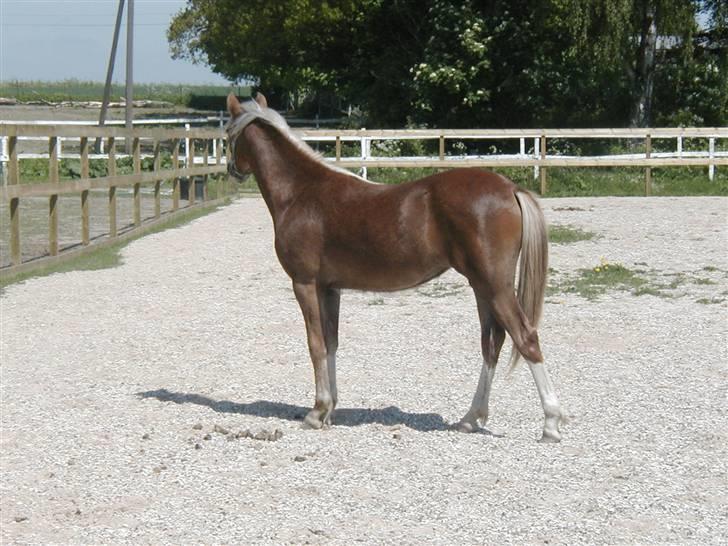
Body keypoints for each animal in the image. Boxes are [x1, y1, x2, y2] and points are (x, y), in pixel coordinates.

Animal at [225, 93, 563, 442]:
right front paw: (330, 409)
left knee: (525, 338)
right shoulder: (329, 288)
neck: (301, 193)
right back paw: (470, 418)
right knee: (492, 344)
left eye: (226, 134)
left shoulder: (304, 283)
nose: (231, 169)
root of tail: (510, 188)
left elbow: (315, 344)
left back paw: (550, 423)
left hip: (495, 287)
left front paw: (317, 412)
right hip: (482, 287)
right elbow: (331, 343)